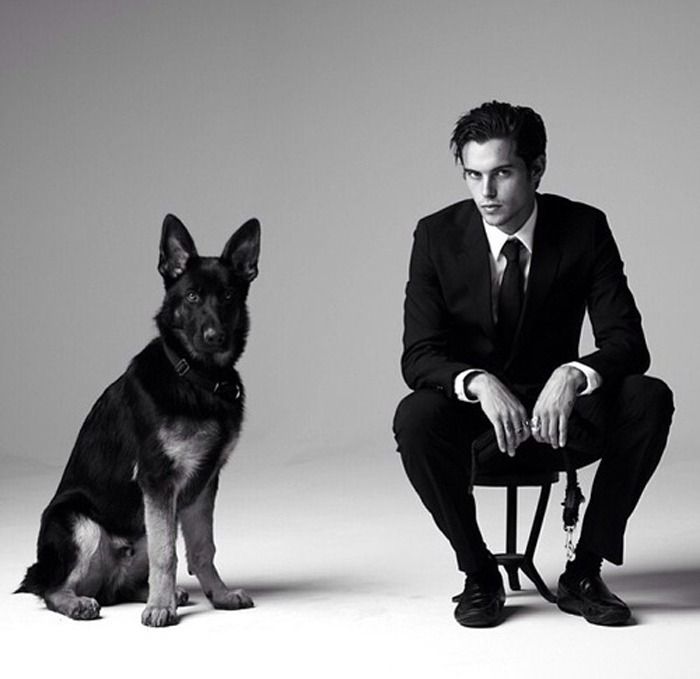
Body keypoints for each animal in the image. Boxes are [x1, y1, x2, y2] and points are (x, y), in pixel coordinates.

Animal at [17, 214, 260, 627]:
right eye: (192, 297)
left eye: (228, 296)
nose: (215, 336)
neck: (195, 377)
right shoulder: (157, 480)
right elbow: (167, 555)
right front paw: (160, 608)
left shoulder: (204, 484)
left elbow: (203, 549)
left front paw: (219, 595)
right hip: (76, 521)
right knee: (52, 588)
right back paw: (80, 603)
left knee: (125, 585)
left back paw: (166, 593)